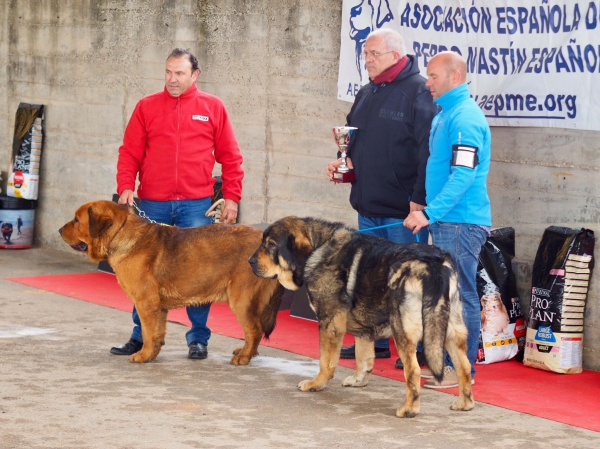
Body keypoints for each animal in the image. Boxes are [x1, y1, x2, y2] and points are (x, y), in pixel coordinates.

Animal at [59, 200, 284, 364]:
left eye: (76, 220)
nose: (60, 230)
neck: (119, 234)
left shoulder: (146, 303)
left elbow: (148, 332)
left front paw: (143, 355)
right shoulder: (157, 307)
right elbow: (157, 333)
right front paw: (151, 354)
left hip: (241, 299)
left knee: (254, 330)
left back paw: (244, 357)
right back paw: (247, 351)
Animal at [248, 216, 474, 416]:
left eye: (271, 245)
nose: (250, 261)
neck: (318, 247)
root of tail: (433, 263)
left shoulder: (330, 324)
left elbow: (326, 362)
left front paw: (316, 383)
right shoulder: (364, 330)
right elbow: (363, 358)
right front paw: (359, 380)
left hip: (403, 330)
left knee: (413, 371)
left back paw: (409, 409)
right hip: (450, 331)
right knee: (464, 366)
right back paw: (465, 403)